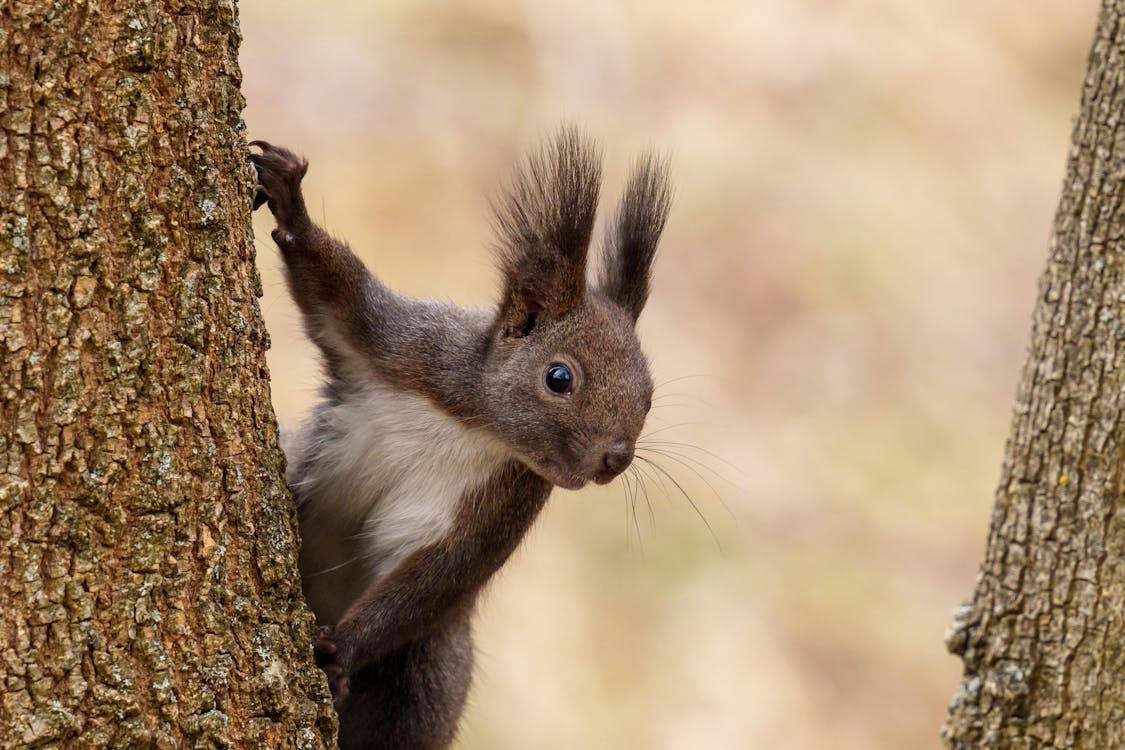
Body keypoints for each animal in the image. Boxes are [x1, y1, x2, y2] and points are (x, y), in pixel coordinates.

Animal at [249, 128, 671, 750]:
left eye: (649, 394)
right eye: (559, 377)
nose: (615, 459)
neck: (475, 426)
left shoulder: (501, 504)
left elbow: (435, 579)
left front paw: (341, 651)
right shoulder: (404, 348)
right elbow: (336, 294)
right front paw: (290, 203)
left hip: (427, 675)